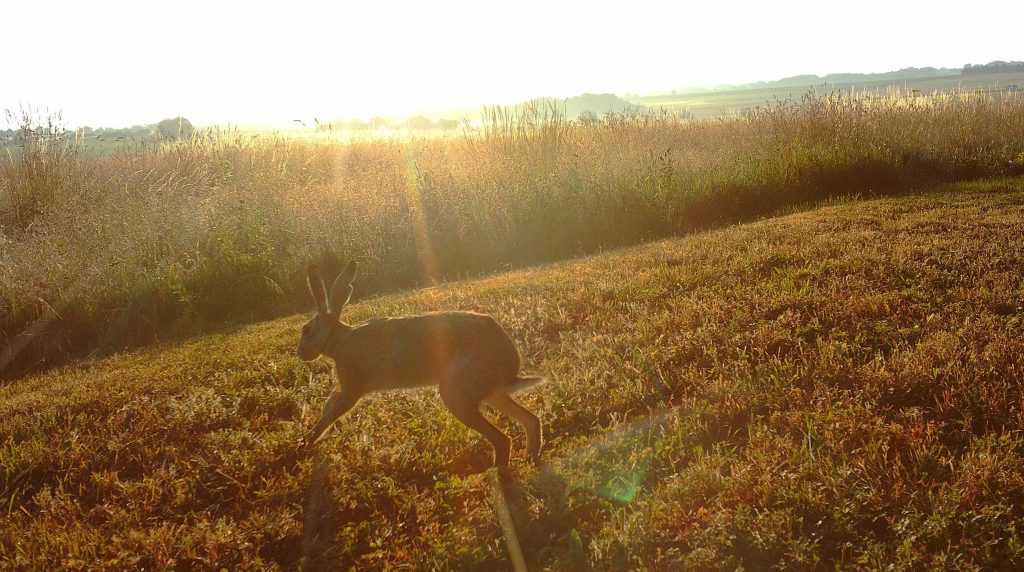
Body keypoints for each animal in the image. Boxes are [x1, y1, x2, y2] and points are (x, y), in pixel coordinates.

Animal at [298, 261, 544, 467]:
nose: (301, 353)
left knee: (502, 440)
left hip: (456, 396)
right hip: (489, 393)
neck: (338, 339)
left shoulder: (351, 389)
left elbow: (331, 414)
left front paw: (307, 442)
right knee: (531, 421)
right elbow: (328, 408)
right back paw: (531, 456)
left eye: (306, 330)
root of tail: (510, 367)